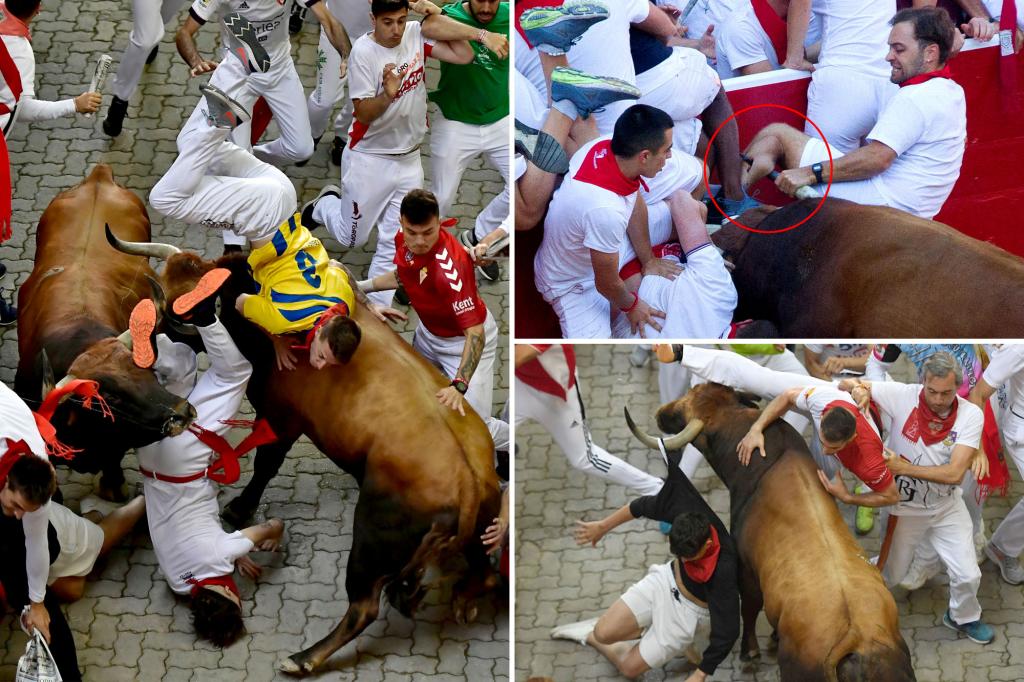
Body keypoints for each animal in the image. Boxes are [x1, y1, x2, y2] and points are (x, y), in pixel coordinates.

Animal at [105, 231, 501, 671]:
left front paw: (239, 508)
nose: (136, 346)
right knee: (485, 572)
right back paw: (461, 598)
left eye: (171, 310)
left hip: (370, 538)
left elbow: (266, 465)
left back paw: (304, 658)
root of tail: (469, 480)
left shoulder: (282, 420)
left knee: (364, 607)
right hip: (479, 530)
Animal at [626, 382, 917, 679]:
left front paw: (750, 652)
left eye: (683, 410)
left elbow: (750, 608)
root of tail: (857, 637)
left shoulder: (747, 570)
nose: (661, 413)